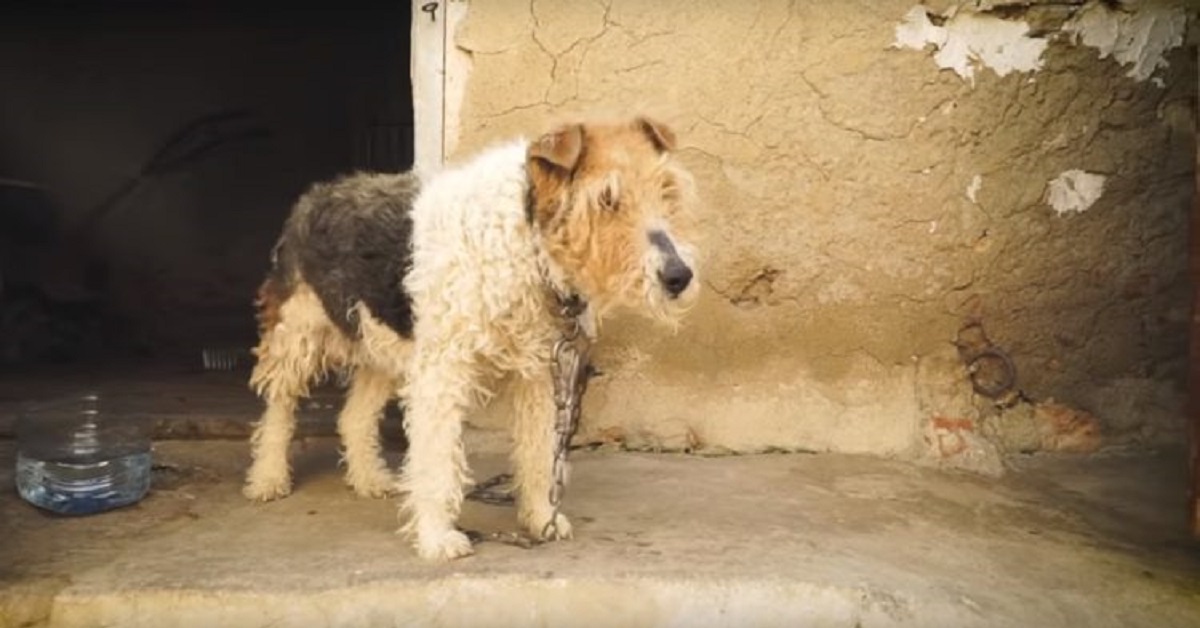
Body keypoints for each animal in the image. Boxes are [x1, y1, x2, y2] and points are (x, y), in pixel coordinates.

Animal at [244, 114, 700, 559]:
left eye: (666, 190)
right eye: (606, 199)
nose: (678, 276)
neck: (527, 236)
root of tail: (318, 193)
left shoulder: (539, 373)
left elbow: (538, 453)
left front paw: (541, 518)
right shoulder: (442, 372)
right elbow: (438, 460)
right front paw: (436, 538)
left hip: (385, 344)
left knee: (354, 416)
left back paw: (370, 479)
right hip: (297, 334)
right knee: (278, 408)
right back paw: (268, 478)